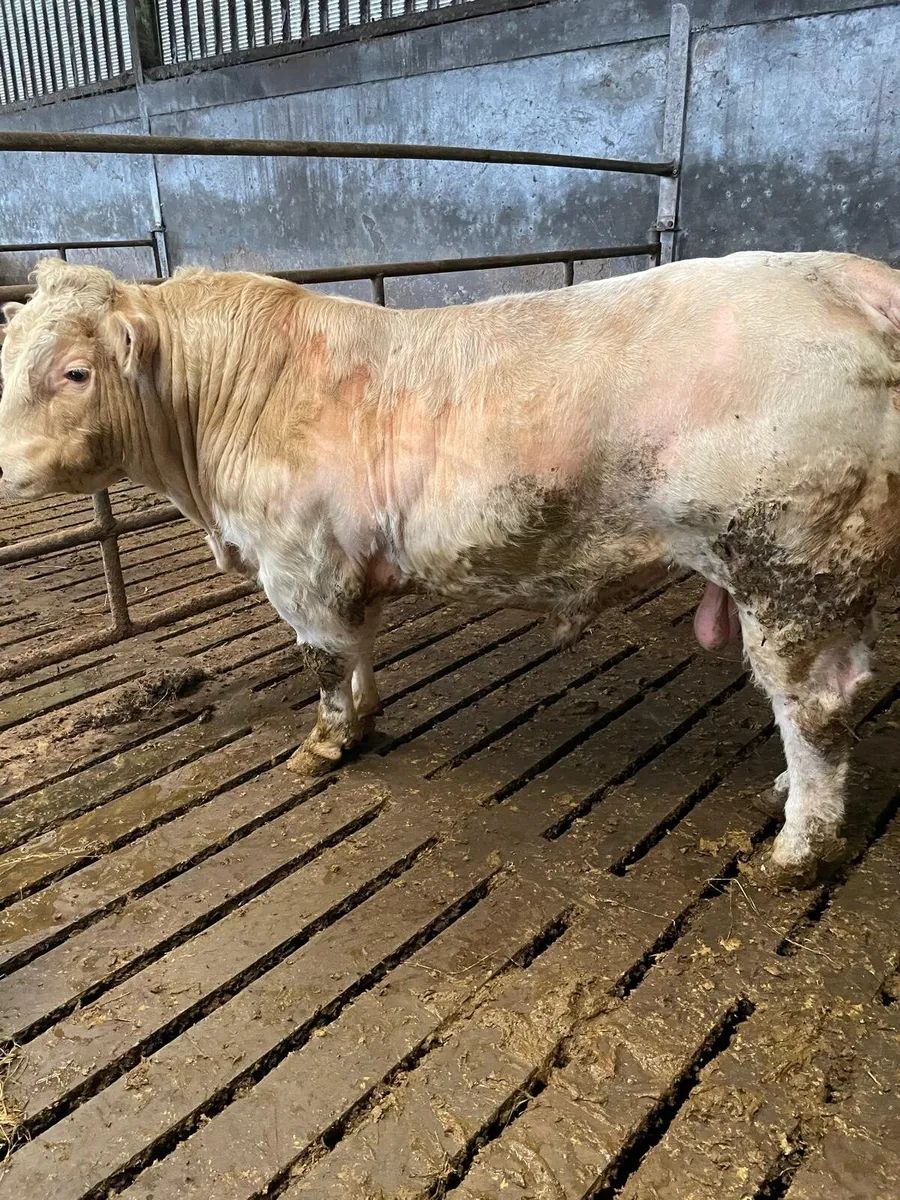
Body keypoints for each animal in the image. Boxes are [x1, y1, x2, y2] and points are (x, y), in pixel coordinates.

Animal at [1, 252, 899, 886]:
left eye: (74, 371)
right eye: (7, 365)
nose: (6, 470)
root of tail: (849, 276)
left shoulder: (299, 566)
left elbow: (322, 664)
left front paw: (324, 744)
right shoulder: (347, 569)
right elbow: (359, 651)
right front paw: (365, 719)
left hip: (789, 569)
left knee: (813, 709)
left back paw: (799, 850)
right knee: (836, 693)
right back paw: (784, 793)